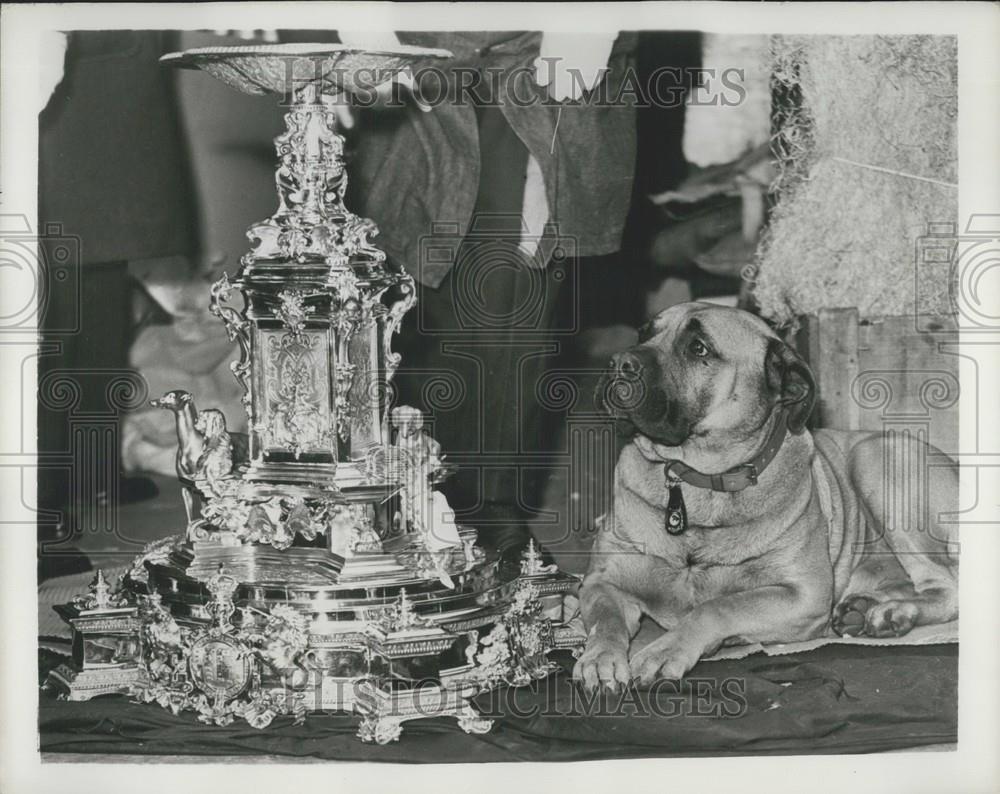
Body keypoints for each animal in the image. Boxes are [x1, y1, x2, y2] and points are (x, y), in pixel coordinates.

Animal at [580, 302, 960, 688]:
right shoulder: (602, 581)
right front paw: (599, 659)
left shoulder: (802, 595)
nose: (618, 361)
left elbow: (718, 606)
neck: (696, 480)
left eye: (698, 348)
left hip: (876, 457)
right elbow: (605, 618)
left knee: (946, 585)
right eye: (644, 333)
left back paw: (894, 613)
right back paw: (863, 607)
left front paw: (664, 650)